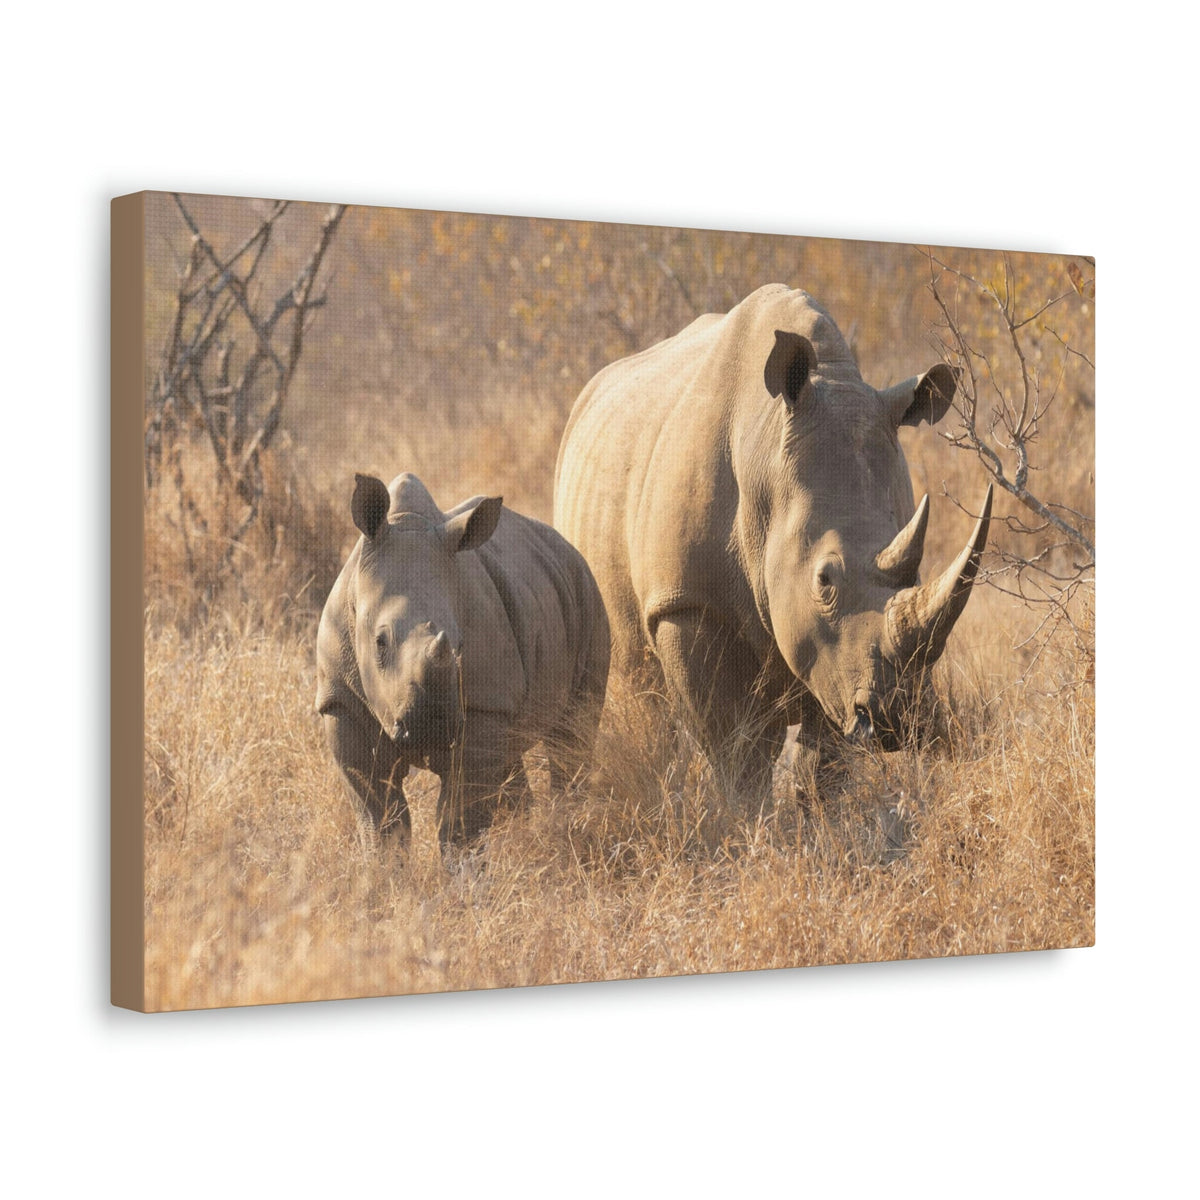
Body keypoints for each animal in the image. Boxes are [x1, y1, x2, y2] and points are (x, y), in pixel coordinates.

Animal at [316, 472, 610, 843]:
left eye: (460, 645)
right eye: (380, 642)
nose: (429, 728)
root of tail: (567, 546)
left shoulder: (484, 704)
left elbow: (460, 819)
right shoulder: (341, 698)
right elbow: (381, 817)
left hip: (587, 591)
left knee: (571, 735)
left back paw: (569, 827)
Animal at [554, 284, 991, 801]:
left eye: (918, 572)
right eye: (825, 579)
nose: (895, 719)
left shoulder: (831, 658)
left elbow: (825, 757)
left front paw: (820, 816)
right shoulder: (685, 601)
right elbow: (738, 749)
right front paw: (746, 817)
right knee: (644, 694)